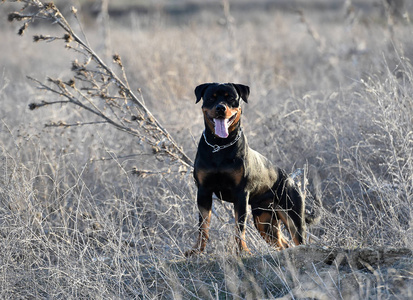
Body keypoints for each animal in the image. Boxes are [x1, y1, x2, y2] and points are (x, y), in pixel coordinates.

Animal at [184, 83, 322, 256]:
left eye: (231, 98)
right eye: (211, 97)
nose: (221, 108)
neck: (220, 146)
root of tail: (289, 179)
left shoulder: (241, 194)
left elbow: (240, 226)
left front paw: (242, 251)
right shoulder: (203, 191)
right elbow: (203, 226)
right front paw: (197, 251)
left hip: (293, 217)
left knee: (298, 239)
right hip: (264, 221)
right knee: (283, 243)